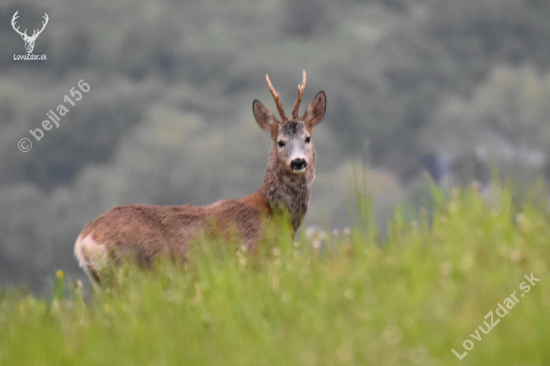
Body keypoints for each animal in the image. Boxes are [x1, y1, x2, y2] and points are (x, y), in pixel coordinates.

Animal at [77, 71, 328, 284]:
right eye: (280, 142)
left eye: (307, 138)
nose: (298, 162)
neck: (275, 214)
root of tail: (84, 242)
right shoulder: (254, 261)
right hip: (131, 273)